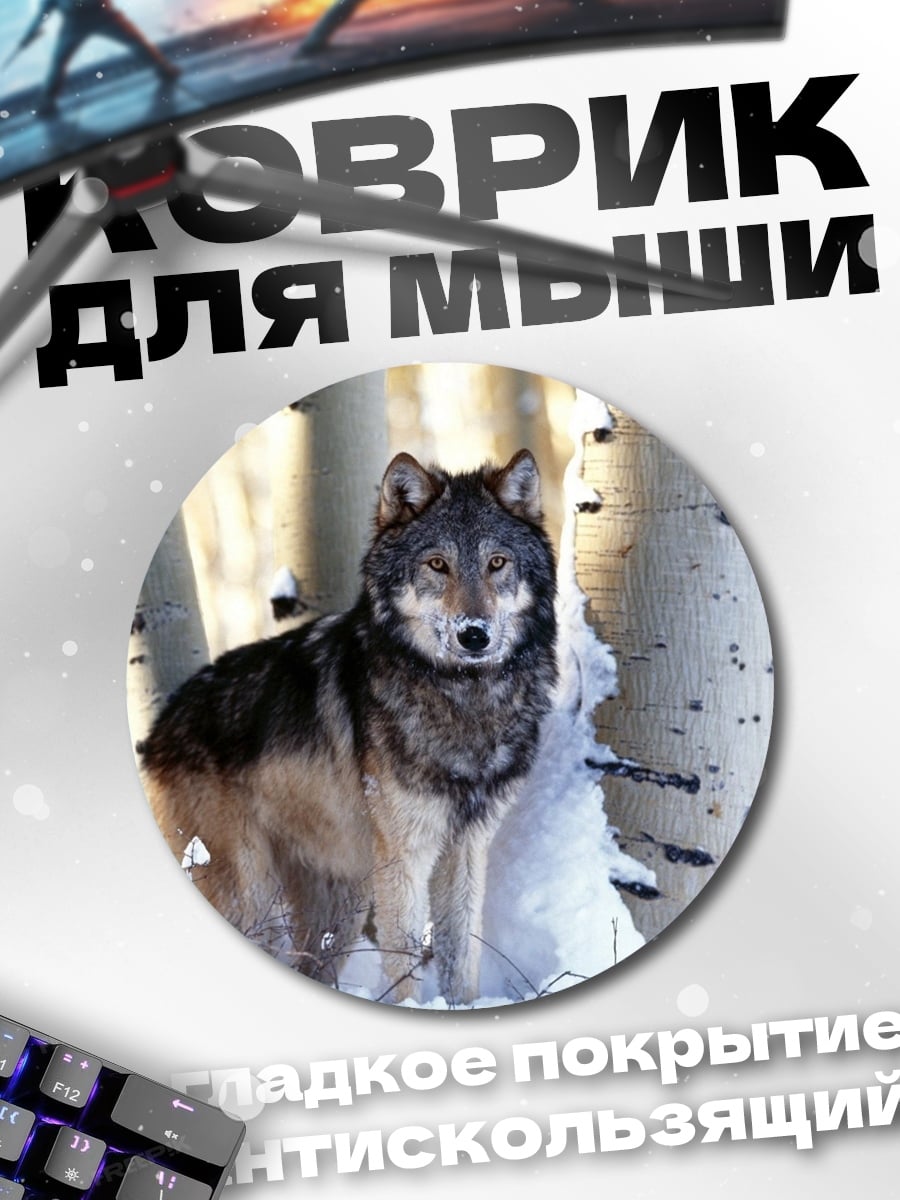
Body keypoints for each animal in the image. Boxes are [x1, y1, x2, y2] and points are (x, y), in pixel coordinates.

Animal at [139, 449, 558, 1005]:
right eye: (437, 564)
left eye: (497, 563)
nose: (475, 635)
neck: (464, 698)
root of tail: (158, 730)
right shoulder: (404, 854)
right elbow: (404, 962)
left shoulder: (467, 849)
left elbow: (460, 959)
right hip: (251, 894)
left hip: (341, 904)